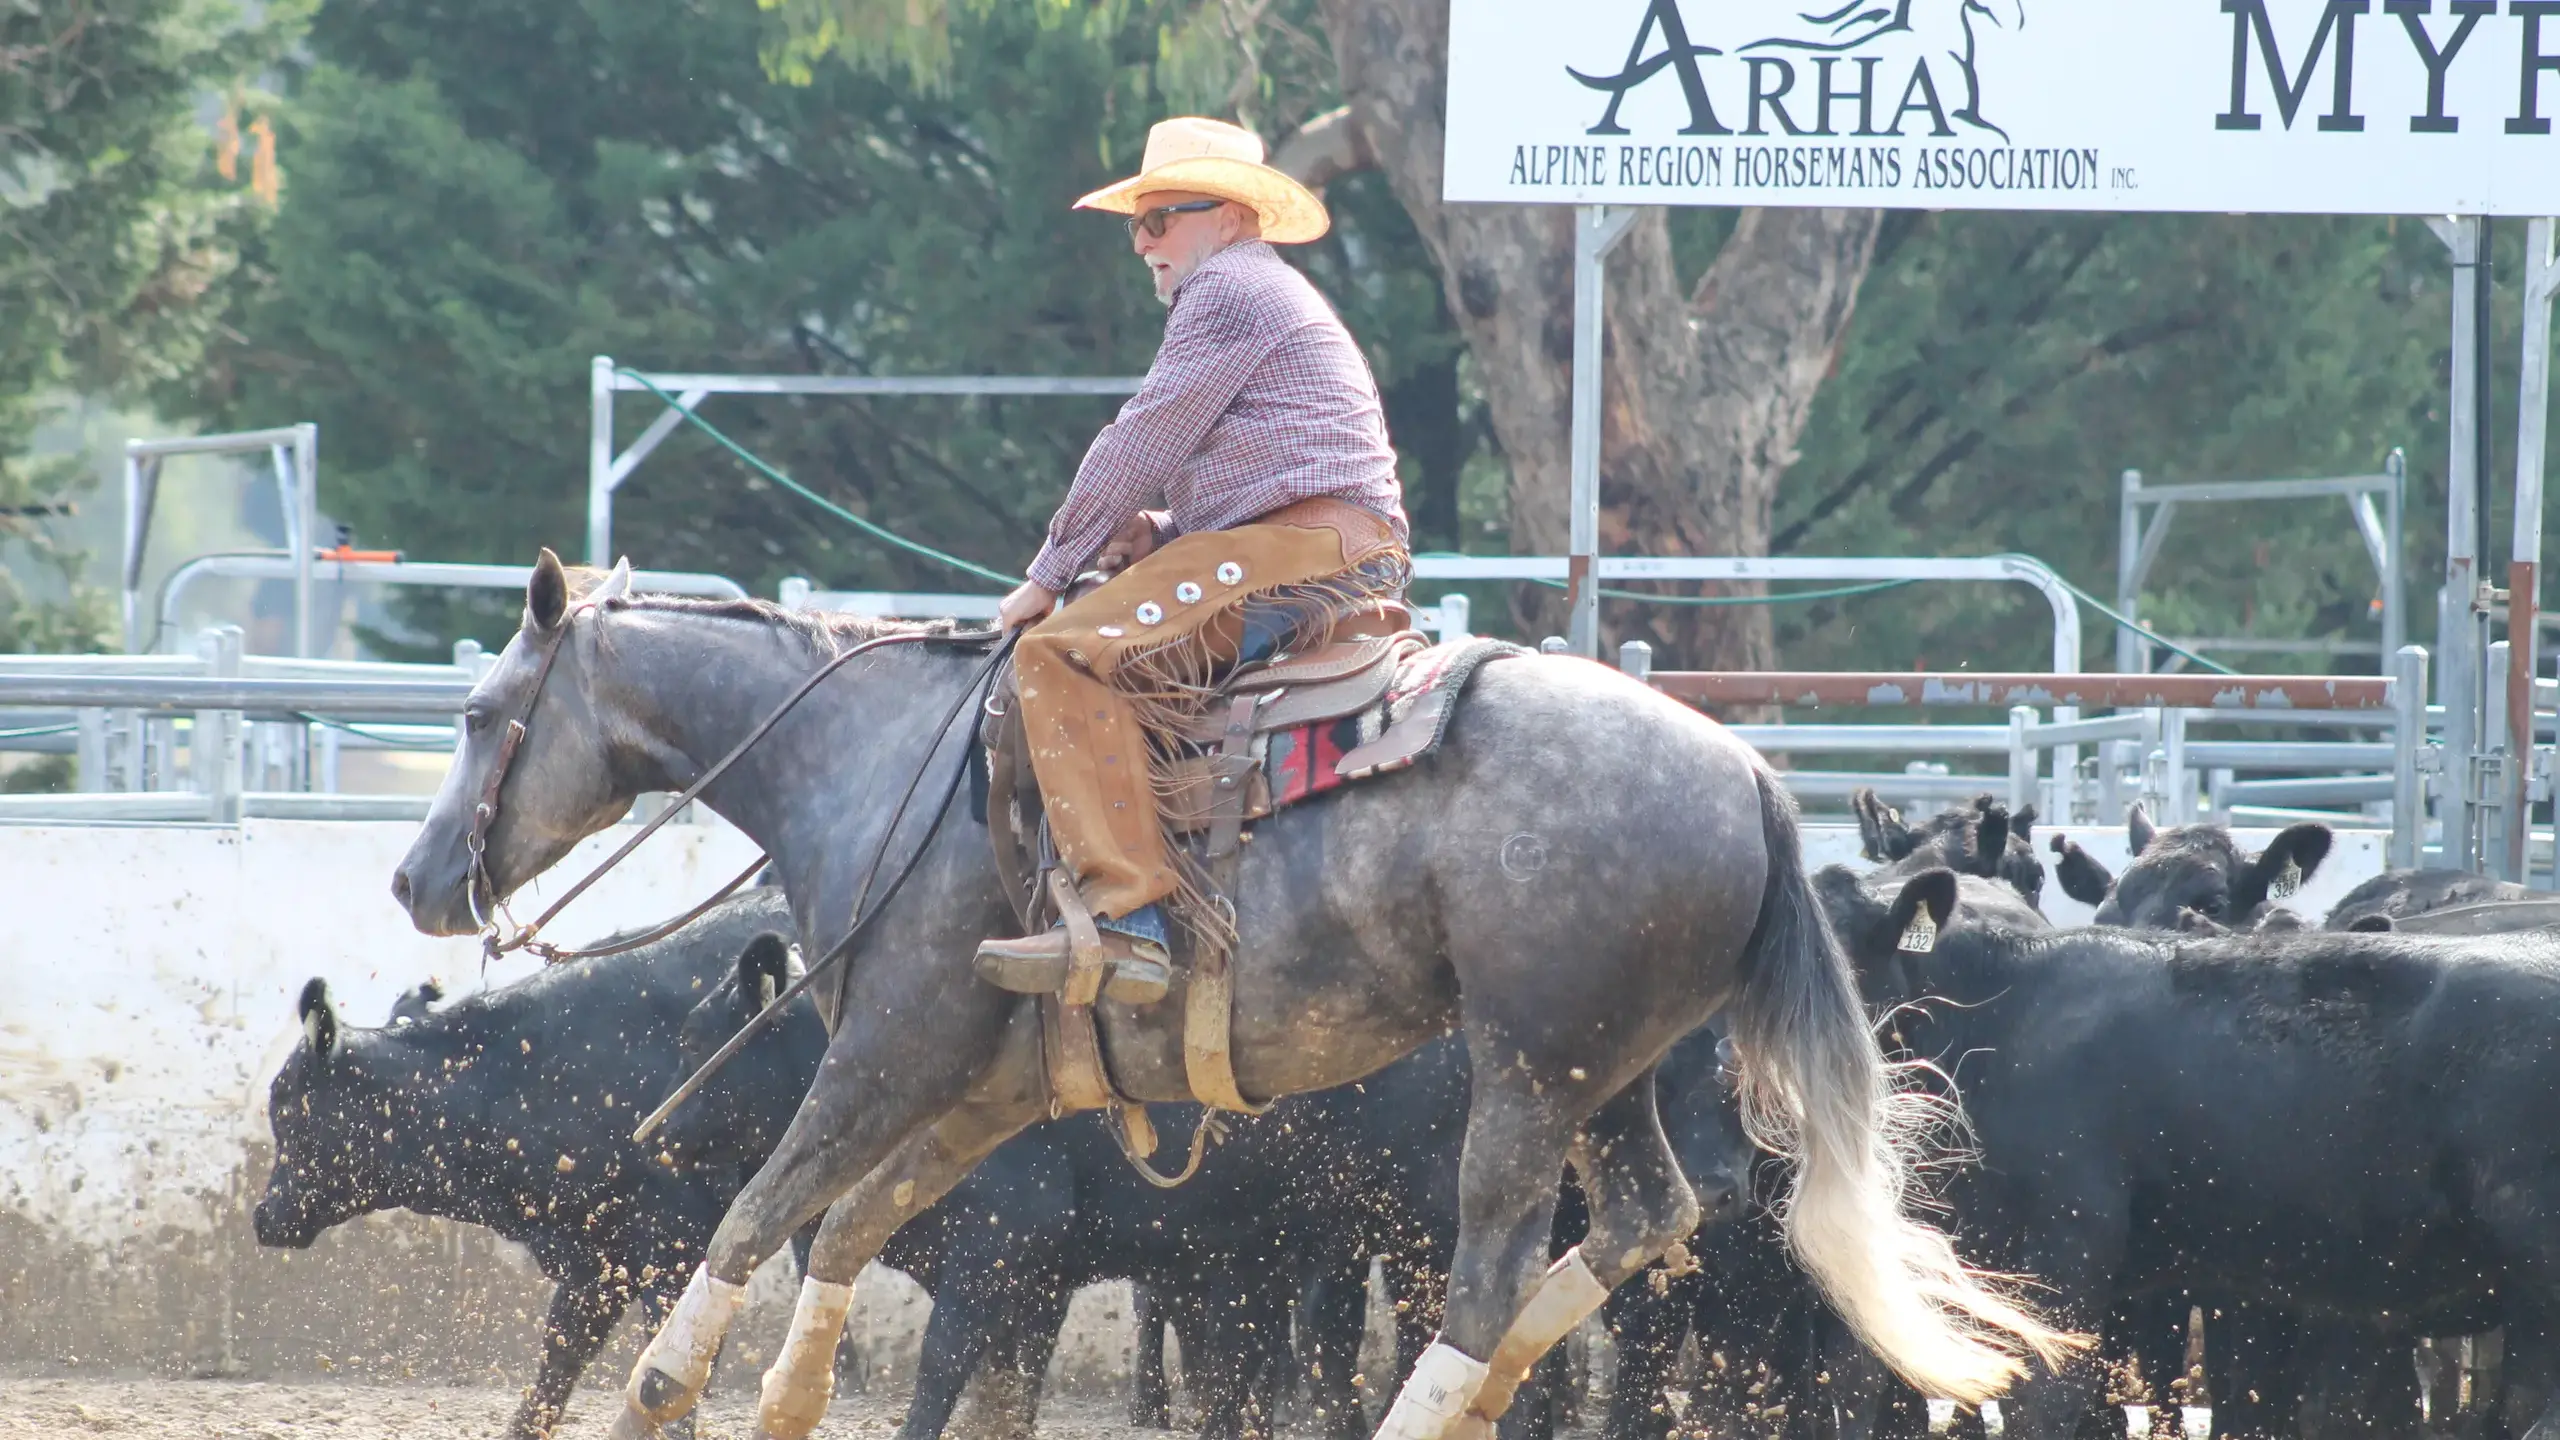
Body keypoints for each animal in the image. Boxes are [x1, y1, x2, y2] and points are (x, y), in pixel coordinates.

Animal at [253, 888, 794, 1440]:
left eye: (286, 1104)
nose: (264, 1217)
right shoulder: (598, 1256)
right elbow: (557, 1364)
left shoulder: (679, 1249)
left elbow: (671, 1381)